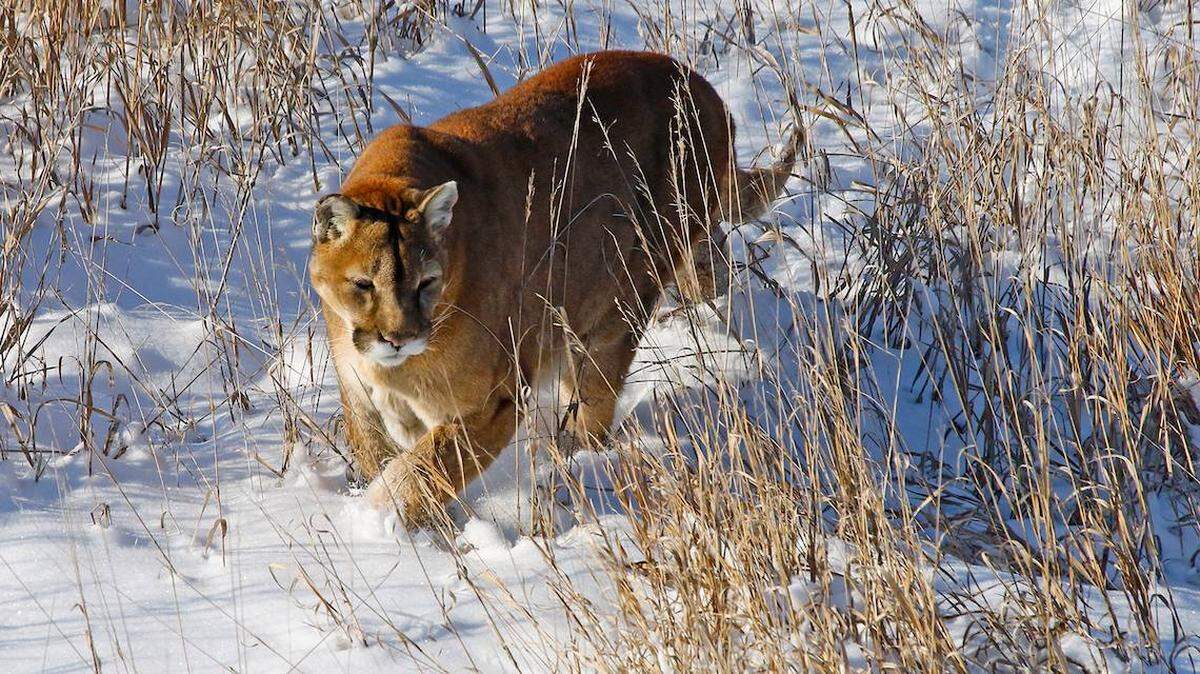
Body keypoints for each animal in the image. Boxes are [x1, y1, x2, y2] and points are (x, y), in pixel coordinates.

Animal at [309, 50, 796, 527]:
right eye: (363, 284)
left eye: (426, 282)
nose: (399, 339)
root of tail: (699, 84)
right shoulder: (360, 398)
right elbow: (383, 458)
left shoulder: (492, 401)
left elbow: (421, 471)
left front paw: (376, 521)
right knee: (713, 270)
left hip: (617, 305)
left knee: (594, 401)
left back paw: (575, 461)